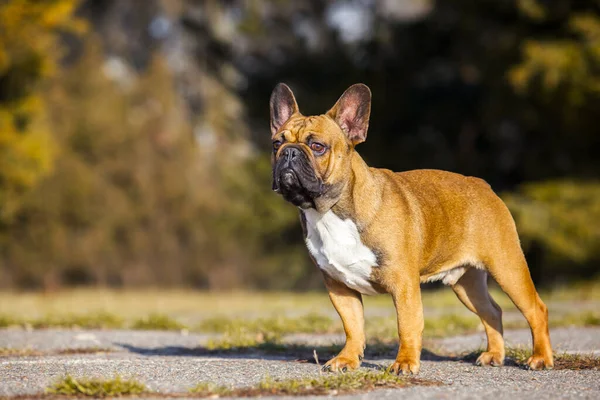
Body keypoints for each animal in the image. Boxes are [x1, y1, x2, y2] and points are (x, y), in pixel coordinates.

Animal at [270, 83, 556, 374]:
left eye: (317, 146)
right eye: (276, 144)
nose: (289, 152)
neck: (329, 211)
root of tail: (483, 185)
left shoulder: (403, 284)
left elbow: (406, 324)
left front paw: (405, 363)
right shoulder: (339, 287)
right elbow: (353, 326)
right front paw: (347, 359)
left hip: (507, 267)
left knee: (536, 309)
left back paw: (541, 358)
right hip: (466, 283)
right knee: (492, 311)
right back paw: (494, 354)